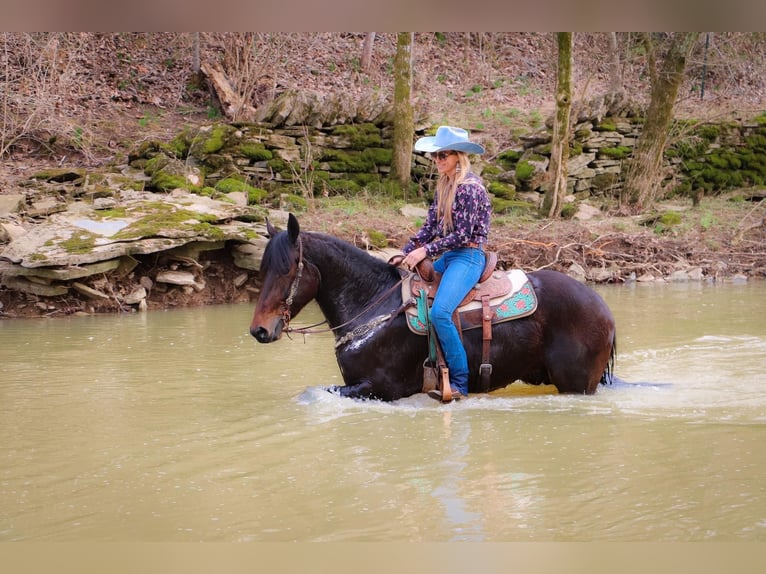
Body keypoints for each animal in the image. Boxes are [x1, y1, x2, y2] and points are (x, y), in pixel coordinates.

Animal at [252, 214, 616, 402]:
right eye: (262, 269)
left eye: (287, 269)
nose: (259, 330)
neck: (373, 307)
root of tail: (602, 307)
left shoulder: (383, 388)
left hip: (576, 384)